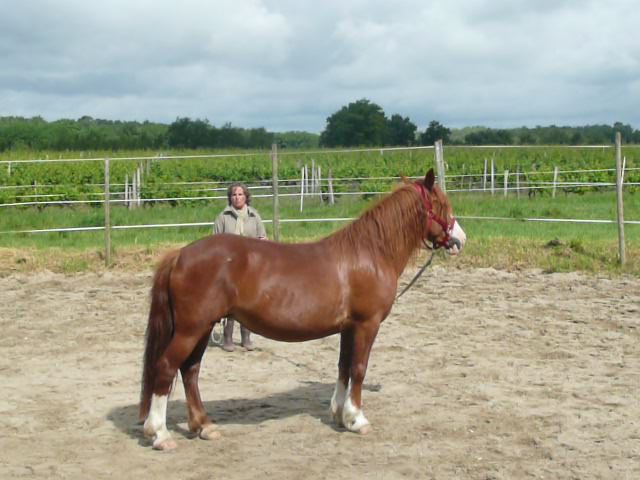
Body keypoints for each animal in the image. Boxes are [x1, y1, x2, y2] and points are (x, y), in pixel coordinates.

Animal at [139, 168, 466, 450]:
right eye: (441, 204)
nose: (460, 240)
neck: (370, 253)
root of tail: (180, 254)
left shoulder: (348, 327)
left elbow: (343, 368)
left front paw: (339, 415)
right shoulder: (367, 324)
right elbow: (359, 369)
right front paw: (357, 419)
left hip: (203, 328)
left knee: (190, 371)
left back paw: (204, 426)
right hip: (190, 329)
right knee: (166, 368)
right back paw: (160, 434)